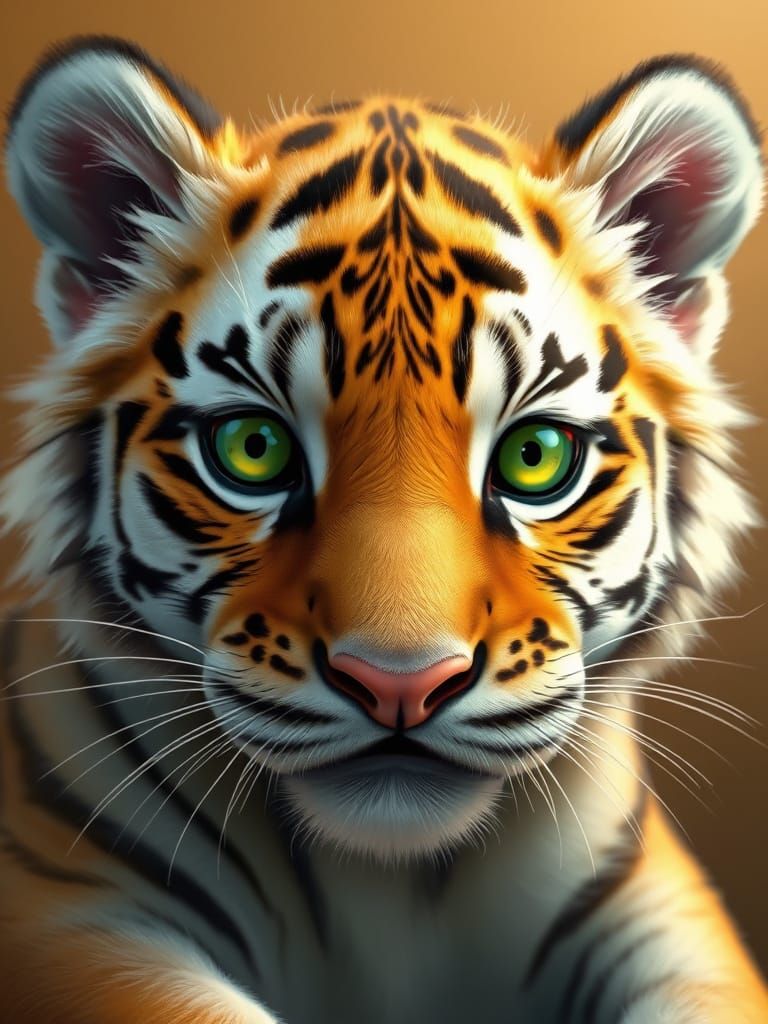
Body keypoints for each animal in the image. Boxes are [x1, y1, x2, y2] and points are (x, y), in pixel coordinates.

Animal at [1, 33, 766, 1024]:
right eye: (252, 449)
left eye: (535, 458)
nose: (401, 685)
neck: (388, 884)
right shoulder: (67, 915)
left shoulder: (665, 919)